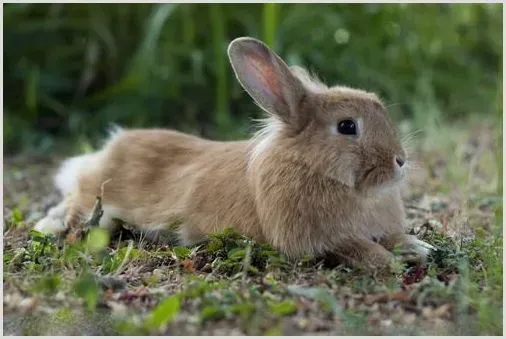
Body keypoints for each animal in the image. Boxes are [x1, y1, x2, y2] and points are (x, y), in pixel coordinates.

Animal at [33, 36, 432, 270]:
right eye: (347, 127)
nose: (400, 160)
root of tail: (109, 148)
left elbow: (393, 238)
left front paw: (419, 247)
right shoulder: (320, 240)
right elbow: (357, 248)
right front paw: (390, 263)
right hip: (97, 201)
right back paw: (48, 225)